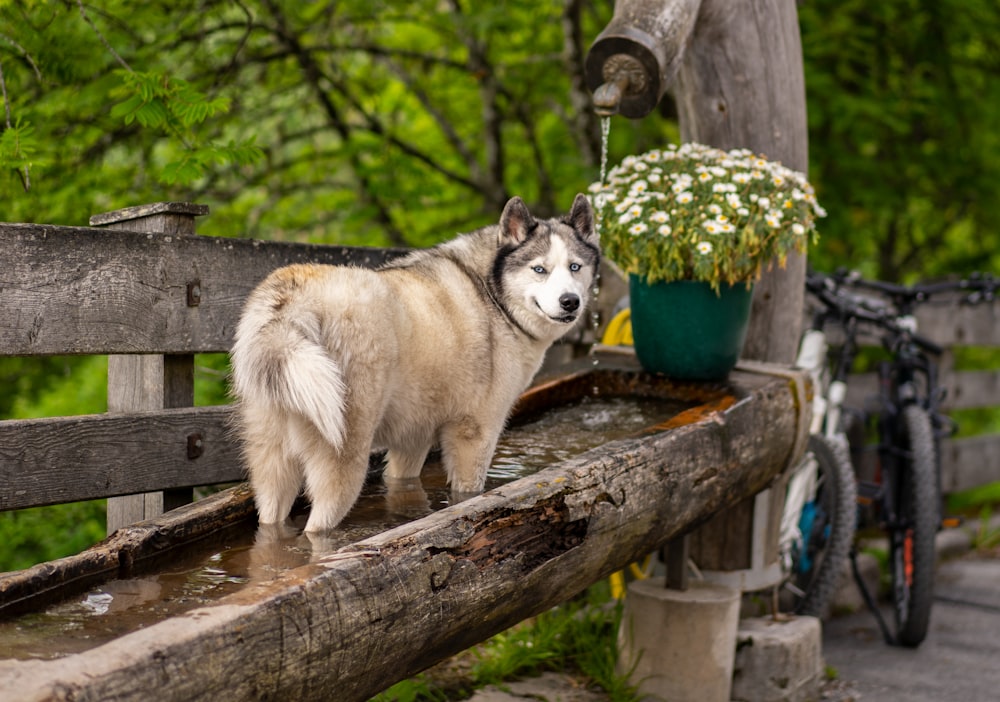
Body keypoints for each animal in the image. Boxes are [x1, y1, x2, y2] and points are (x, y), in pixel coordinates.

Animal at [230, 192, 596, 532]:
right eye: (539, 269)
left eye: (575, 267)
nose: (570, 302)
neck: (492, 295)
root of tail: (292, 298)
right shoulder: (475, 435)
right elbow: (468, 493)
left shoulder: (412, 441)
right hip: (344, 465)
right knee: (316, 529)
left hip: (273, 471)